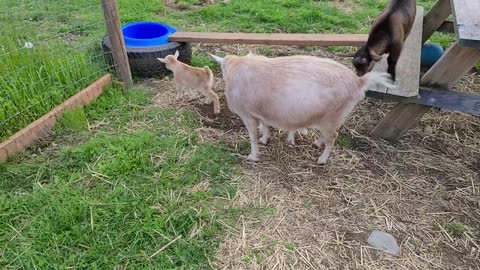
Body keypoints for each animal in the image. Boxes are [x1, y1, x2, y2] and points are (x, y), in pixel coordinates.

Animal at [210, 51, 394, 163]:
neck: (236, 66)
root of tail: (359, 82)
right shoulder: (263, 111)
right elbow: (266, 124)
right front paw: (265, 138)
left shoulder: (246, 114)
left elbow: (252, 136)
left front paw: (253, 155)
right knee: (329, 135)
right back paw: (317, 144)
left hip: (331, 118)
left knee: (333, 137)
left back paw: (322, 160)